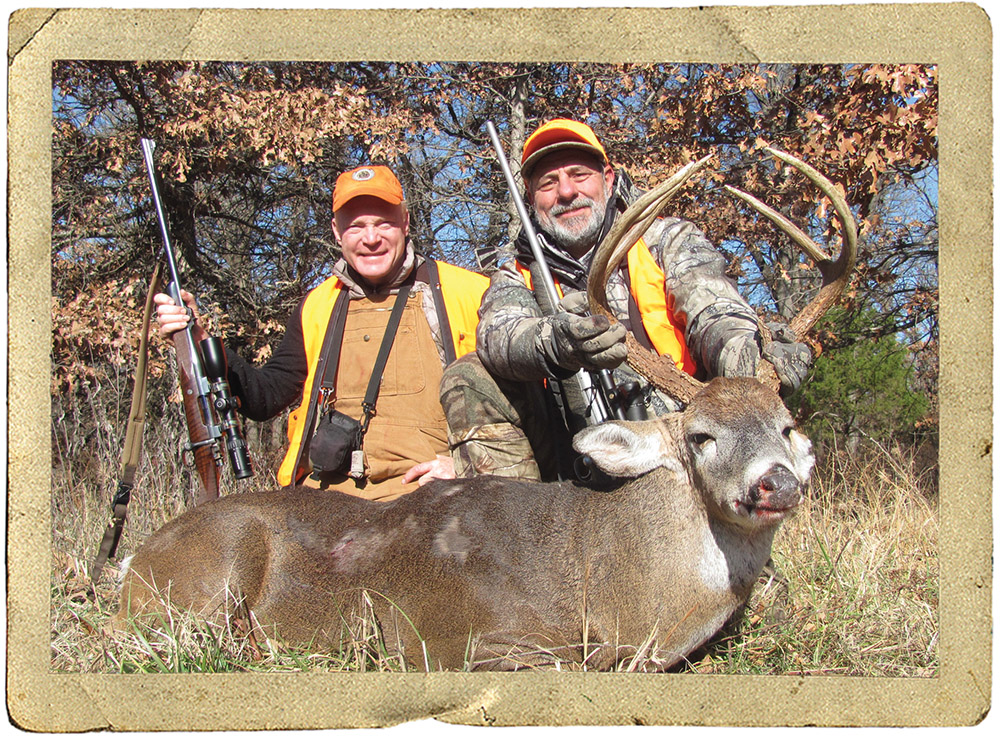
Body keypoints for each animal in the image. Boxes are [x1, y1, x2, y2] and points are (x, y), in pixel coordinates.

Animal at [115, 147, 856, 672]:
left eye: (786, 428)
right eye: (701, 436)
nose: (776, 482)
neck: (613, 583)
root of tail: (130, 565)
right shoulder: (465, 640)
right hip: (210, 576)